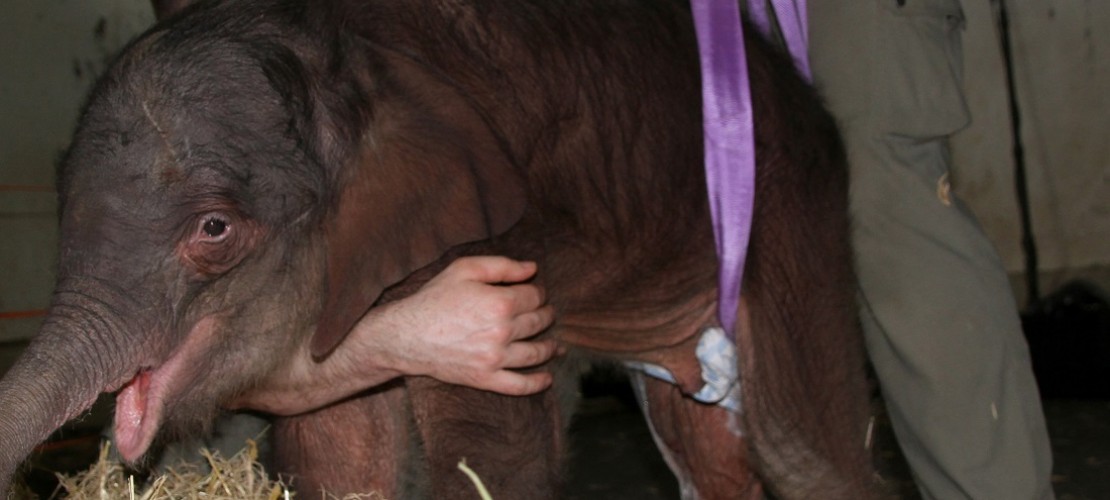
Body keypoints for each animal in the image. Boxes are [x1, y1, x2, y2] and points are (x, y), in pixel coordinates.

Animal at [0, 0, 879, 498]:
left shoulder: (495, 223)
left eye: (213, 230)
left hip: (791, 201)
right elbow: (343, 450)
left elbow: (492, 450)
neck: (340, 55)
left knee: (807, 453)